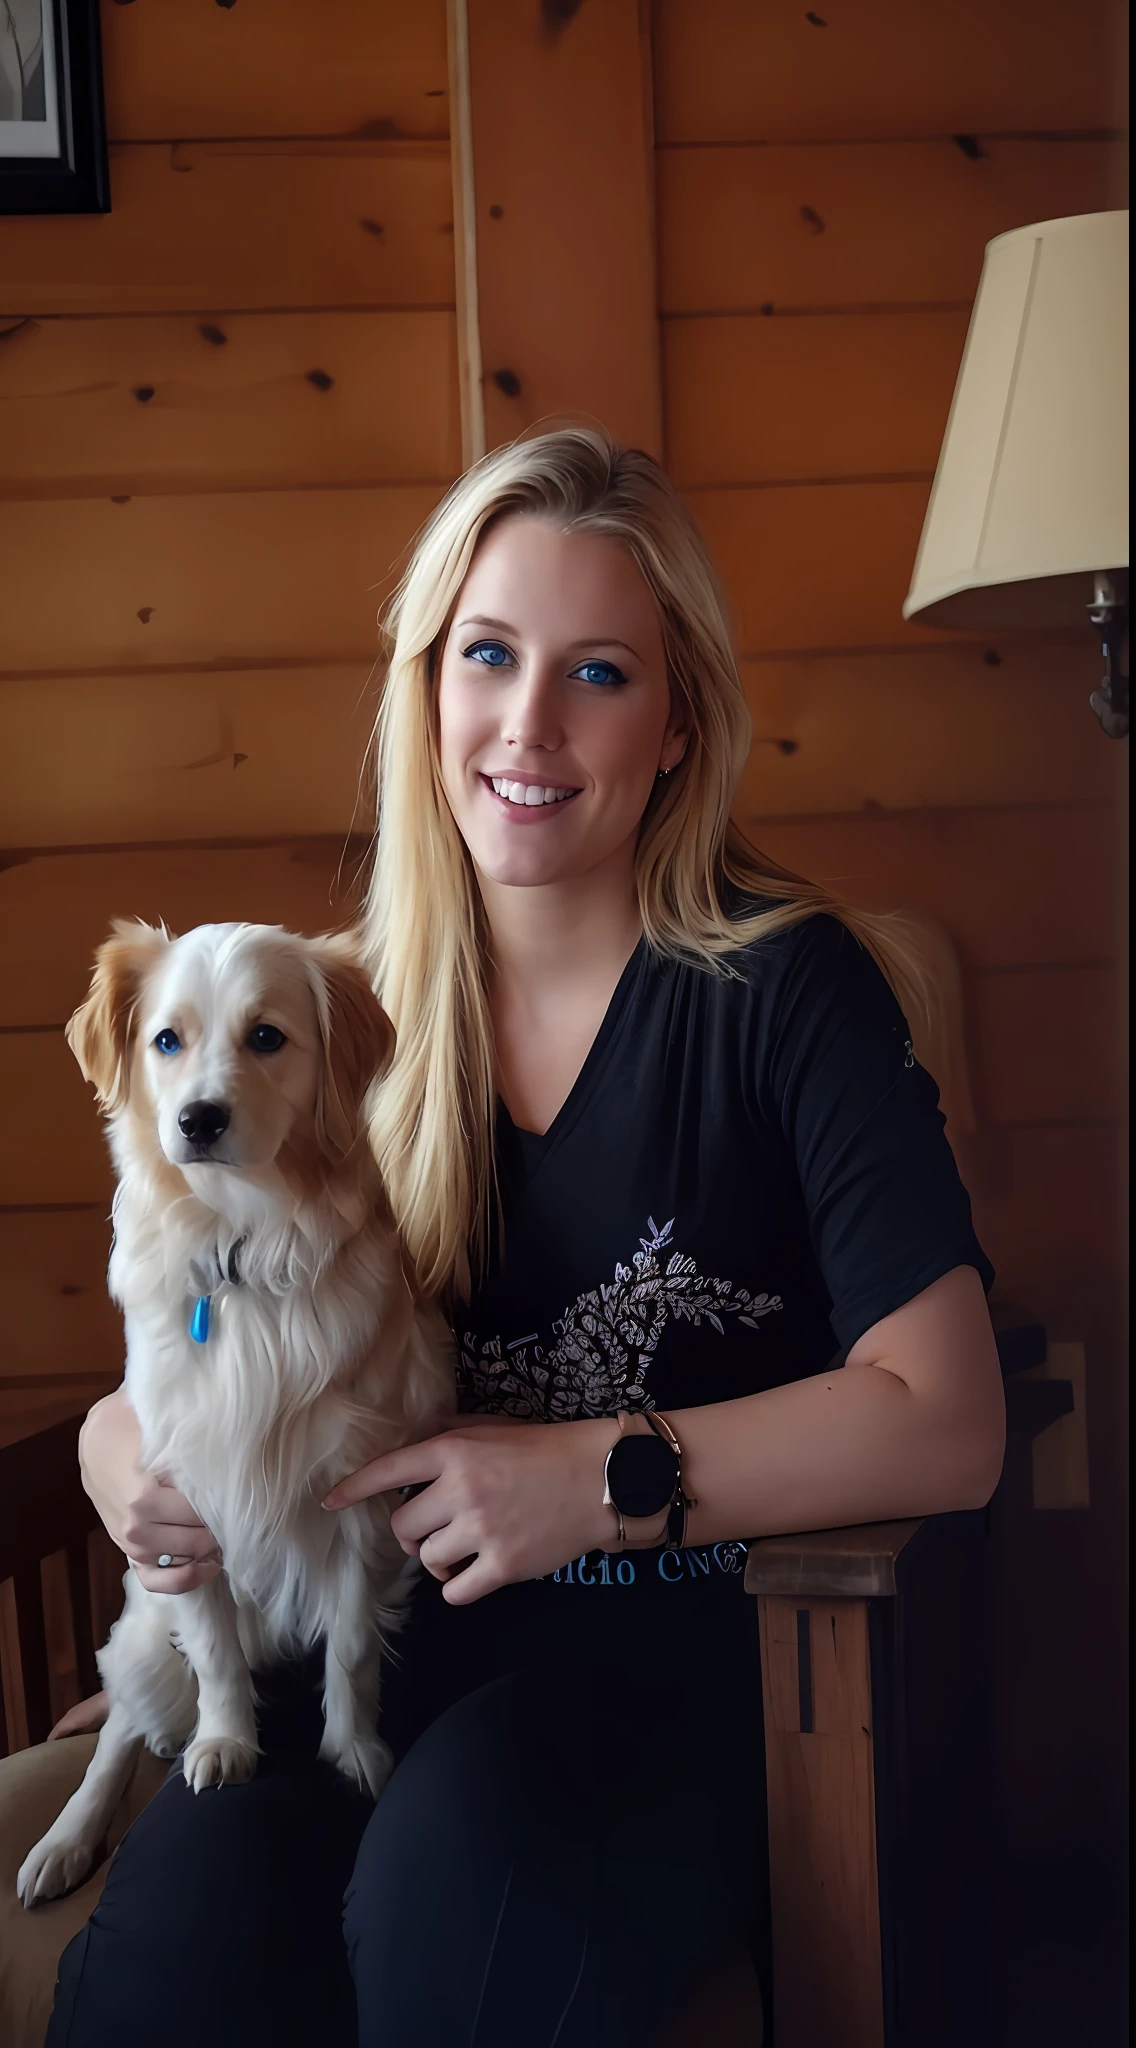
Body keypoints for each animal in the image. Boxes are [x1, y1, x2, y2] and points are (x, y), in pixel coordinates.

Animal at [17, 921, 454, 1908]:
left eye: (266, 1037)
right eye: (165, 1041)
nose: (199, 1119)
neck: (244, 1245)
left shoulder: (361, 1497)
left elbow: (352, 1649)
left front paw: (355, 1752)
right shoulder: (183, 1510)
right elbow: (214, 1651)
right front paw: (225, 1744)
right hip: (142, 1630)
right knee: (120, 1728)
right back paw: (66, 1838)